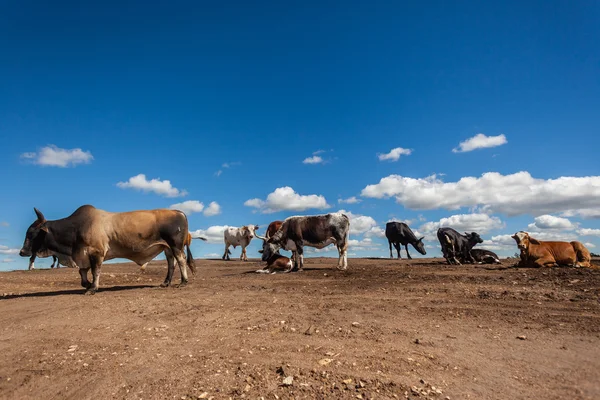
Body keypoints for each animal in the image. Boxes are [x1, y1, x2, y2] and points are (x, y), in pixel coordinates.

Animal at [18, 206, 196, 294]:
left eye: (31, 233)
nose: (22, 252)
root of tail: (178, 211)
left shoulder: (96, 253)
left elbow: (96, 271)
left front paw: (93, 288)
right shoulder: (82, 255)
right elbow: (82, 273)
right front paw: (87, 284)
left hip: (175, 245)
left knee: (180, 260)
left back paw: (183, 282)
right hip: (166, 247)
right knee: (171, 263)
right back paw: (166, 283)